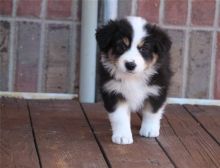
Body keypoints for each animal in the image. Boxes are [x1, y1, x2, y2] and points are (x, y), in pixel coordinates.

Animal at [95, 16, 171, 144]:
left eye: (144, 48)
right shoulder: (113, 91)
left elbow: (152, 112)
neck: (133, 77)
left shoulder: (157, 89)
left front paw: (149, 130)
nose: (130, 65)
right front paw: (122, 136)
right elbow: (119, 116)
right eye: (121, 46)